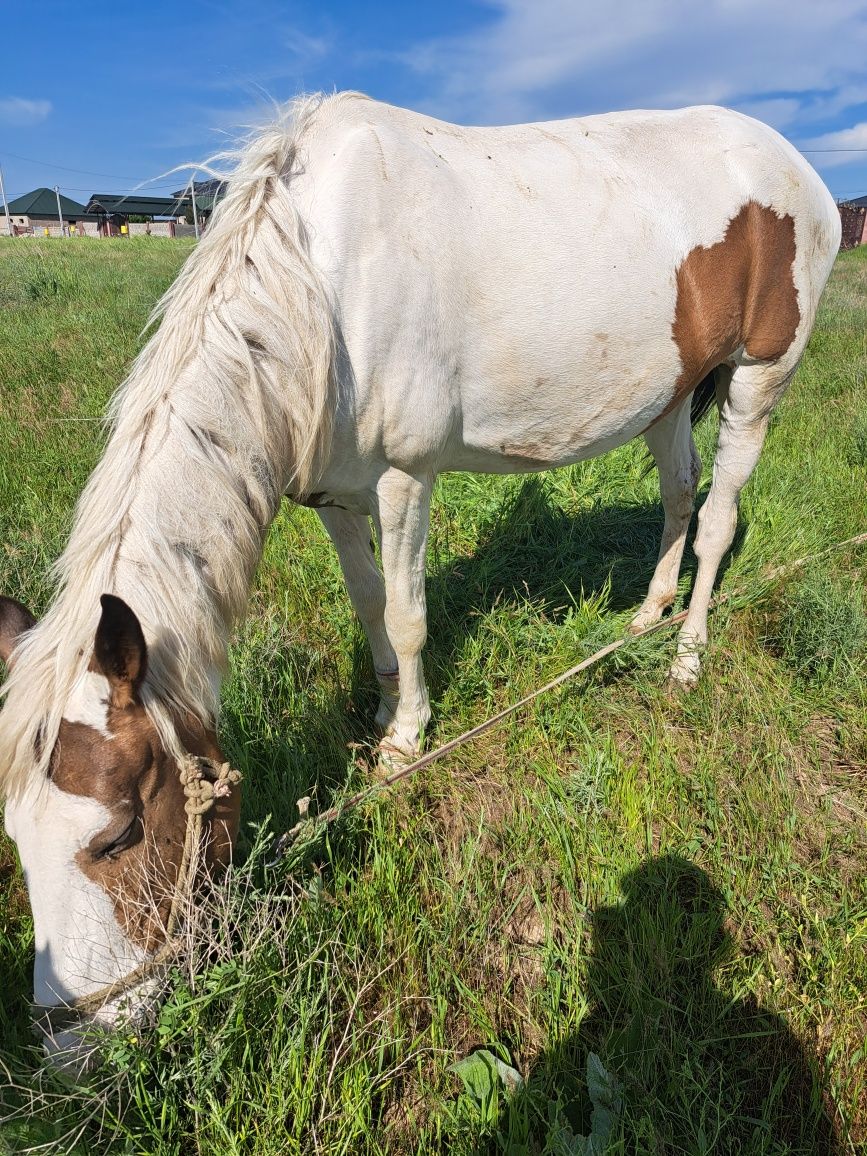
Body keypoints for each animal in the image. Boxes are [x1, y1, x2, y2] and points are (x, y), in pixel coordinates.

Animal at [0, 94, 841, 1054]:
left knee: (716, 518)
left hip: (757, 376)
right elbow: (368, 603)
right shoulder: (330, 493)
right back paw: (643, 618)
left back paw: (686, 654)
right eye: (14, 837)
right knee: (675, 497)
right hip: (667, 390)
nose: (73, 1043)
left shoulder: (405, 481)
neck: (320, 282)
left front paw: (403, 742)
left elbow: (406, 615)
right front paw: (377, 705)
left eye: (125, 831)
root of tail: (796, 169)